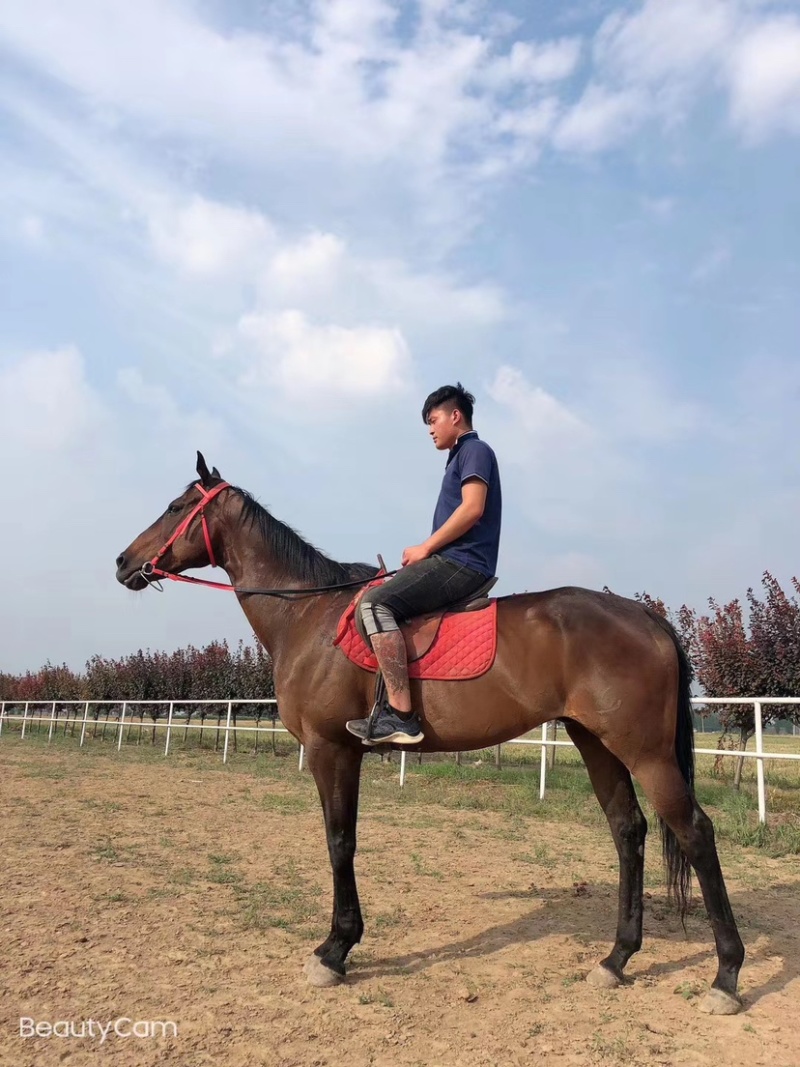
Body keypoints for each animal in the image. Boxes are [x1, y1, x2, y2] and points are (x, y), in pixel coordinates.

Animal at [114, 453, 745, 1015]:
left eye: (175, 507)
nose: (123, 561)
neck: (309, 617)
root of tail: (647, 617)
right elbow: (343, 840)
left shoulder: (331, 749)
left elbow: (339, 842)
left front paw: (335, 950)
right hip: (596, 742)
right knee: (628, 831)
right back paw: (616, 959)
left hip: (645, 752)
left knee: (694, 832)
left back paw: (726, 976)